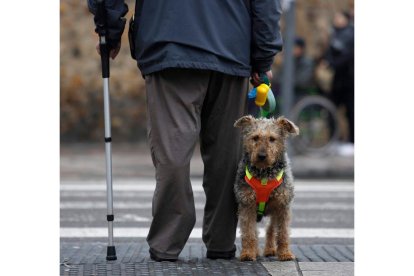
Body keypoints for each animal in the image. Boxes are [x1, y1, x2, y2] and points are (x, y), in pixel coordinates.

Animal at [233, 115, 298, 262]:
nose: (262, 156)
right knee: (257, 232)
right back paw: (256, 251)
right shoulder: (247, 204)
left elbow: (283, 233)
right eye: (255, 137)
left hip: (274, 210)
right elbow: (249, 233)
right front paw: (248, 253)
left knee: (270, 229)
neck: (264, 175)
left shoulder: (283, 205)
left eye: (272, 139)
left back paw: (270, 249)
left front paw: (285, 253)